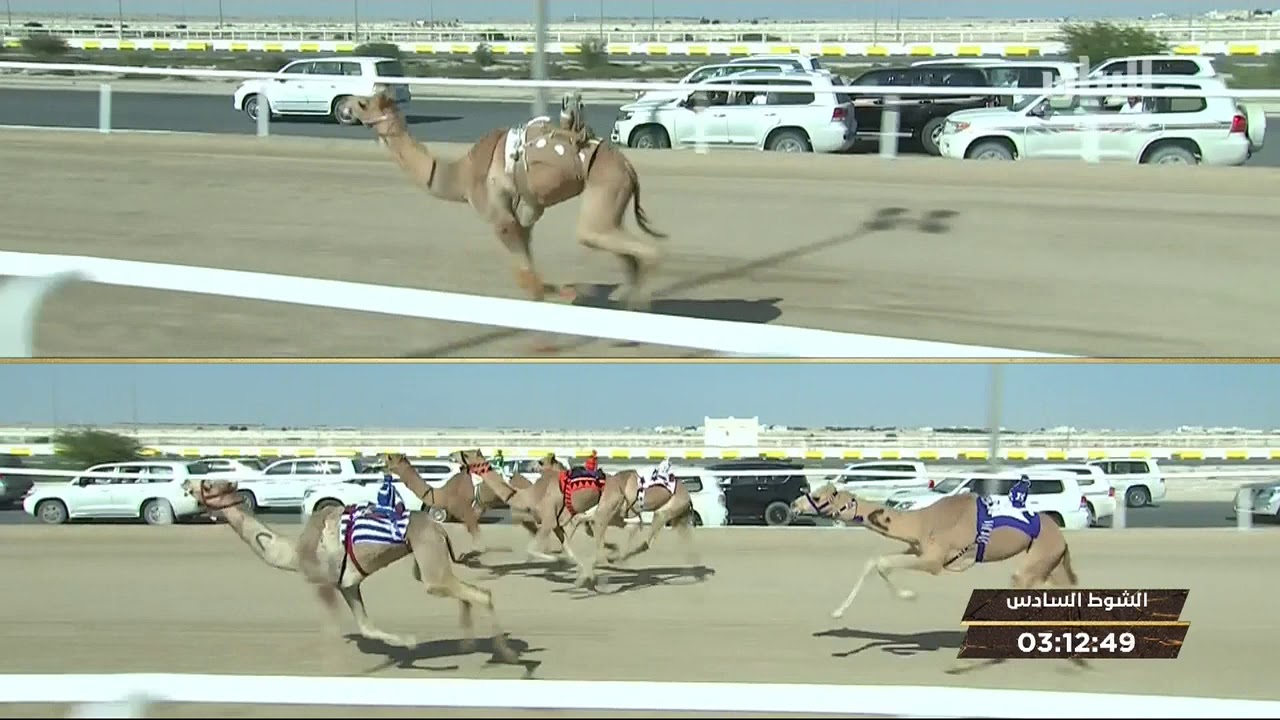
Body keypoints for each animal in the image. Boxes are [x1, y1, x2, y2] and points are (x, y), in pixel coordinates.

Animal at [182, 477, 516, 662]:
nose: (187, 484)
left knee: (480, 593)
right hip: (427, 561)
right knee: (466, 591)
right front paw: (407, 643)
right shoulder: (347, 584)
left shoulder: (324, 584)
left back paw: (508, 655)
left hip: (429, 560)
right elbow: (365, 626)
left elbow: (330, 633)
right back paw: (469, 643)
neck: (293, 552)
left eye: (207, 484)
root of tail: (439, 528)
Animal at [345, 88, 668, 311]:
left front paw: (562, 295)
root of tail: (629, 168)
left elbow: (528, 277)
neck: (460, 175)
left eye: (364, 103)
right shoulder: (526, 213)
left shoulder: (498, 215)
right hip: (614, 197)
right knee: (627, 255)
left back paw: (639, 306)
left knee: (627, 245)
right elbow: (527, 268)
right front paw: (564, 292)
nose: (346, 105)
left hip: (605, 187)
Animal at [791, 482, 1079, 620]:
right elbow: (874, 561)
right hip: (1050, 564)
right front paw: (837, 612)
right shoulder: (917, 550)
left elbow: (884, 563)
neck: (922, 521)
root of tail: (1061, 537)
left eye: (817, 497)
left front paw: (909, 595)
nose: (794, 505)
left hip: (1040, 560)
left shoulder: (935, 561)